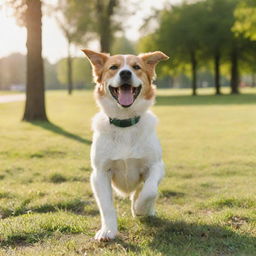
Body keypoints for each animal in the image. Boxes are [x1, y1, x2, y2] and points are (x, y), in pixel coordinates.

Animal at [83, 49, 169, 241]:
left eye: (136, 67)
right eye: (113, 67)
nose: (125, 73)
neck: (125, 124)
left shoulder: (156, 166)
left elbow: (150, 190)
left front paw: (140, 208)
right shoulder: (100, 174)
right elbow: (106, 206)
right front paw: (108, 231)